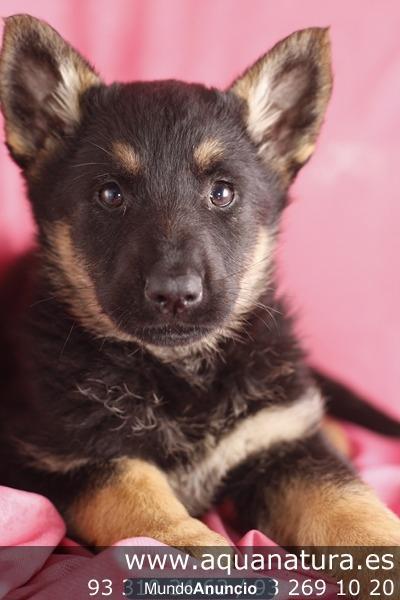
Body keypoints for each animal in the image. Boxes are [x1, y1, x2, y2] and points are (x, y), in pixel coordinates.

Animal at [0, 15, 400, 568]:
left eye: (222, 192)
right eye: (110, 194)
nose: (175, 293)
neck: (180, 372)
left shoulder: (280, 443)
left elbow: (348, 504)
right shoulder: (57, 456)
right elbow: (129, 488)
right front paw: (193, 542)